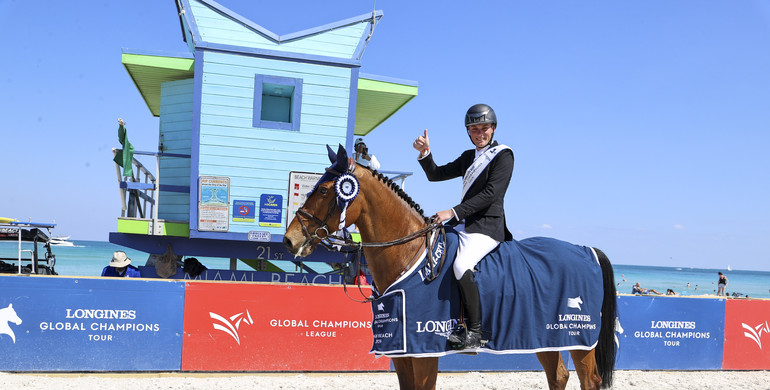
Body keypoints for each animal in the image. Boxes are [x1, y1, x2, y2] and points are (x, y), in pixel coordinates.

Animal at [284, 145, 616, 388]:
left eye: (324, 190)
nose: (290, 240)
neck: (411, 252)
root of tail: (586, 250)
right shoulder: (401, 351)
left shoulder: (424, 350)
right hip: (545, 335)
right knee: (557, 375)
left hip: (581, 340)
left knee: (589, 379)